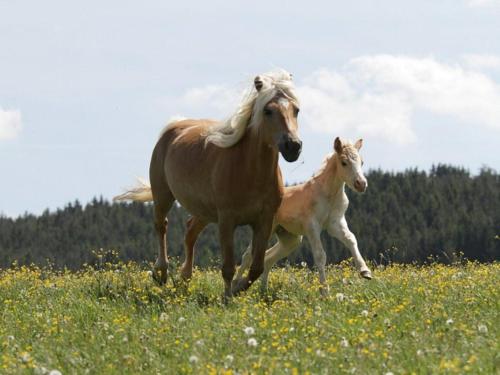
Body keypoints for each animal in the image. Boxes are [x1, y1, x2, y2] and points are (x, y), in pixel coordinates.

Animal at [114, 70, 300, 300]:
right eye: (268, 111)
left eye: (296, 110)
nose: (293, 146)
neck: (249, 173)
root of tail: (173, 128)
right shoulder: (227, 220)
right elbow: (228, 266)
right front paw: (228, 298)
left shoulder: (264, 221)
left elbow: (256, 267)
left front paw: (238, 288)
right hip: (163, 195)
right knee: (161, 225)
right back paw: (161, 273)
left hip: (203, 211)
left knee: (190, 231)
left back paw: (185, 277)